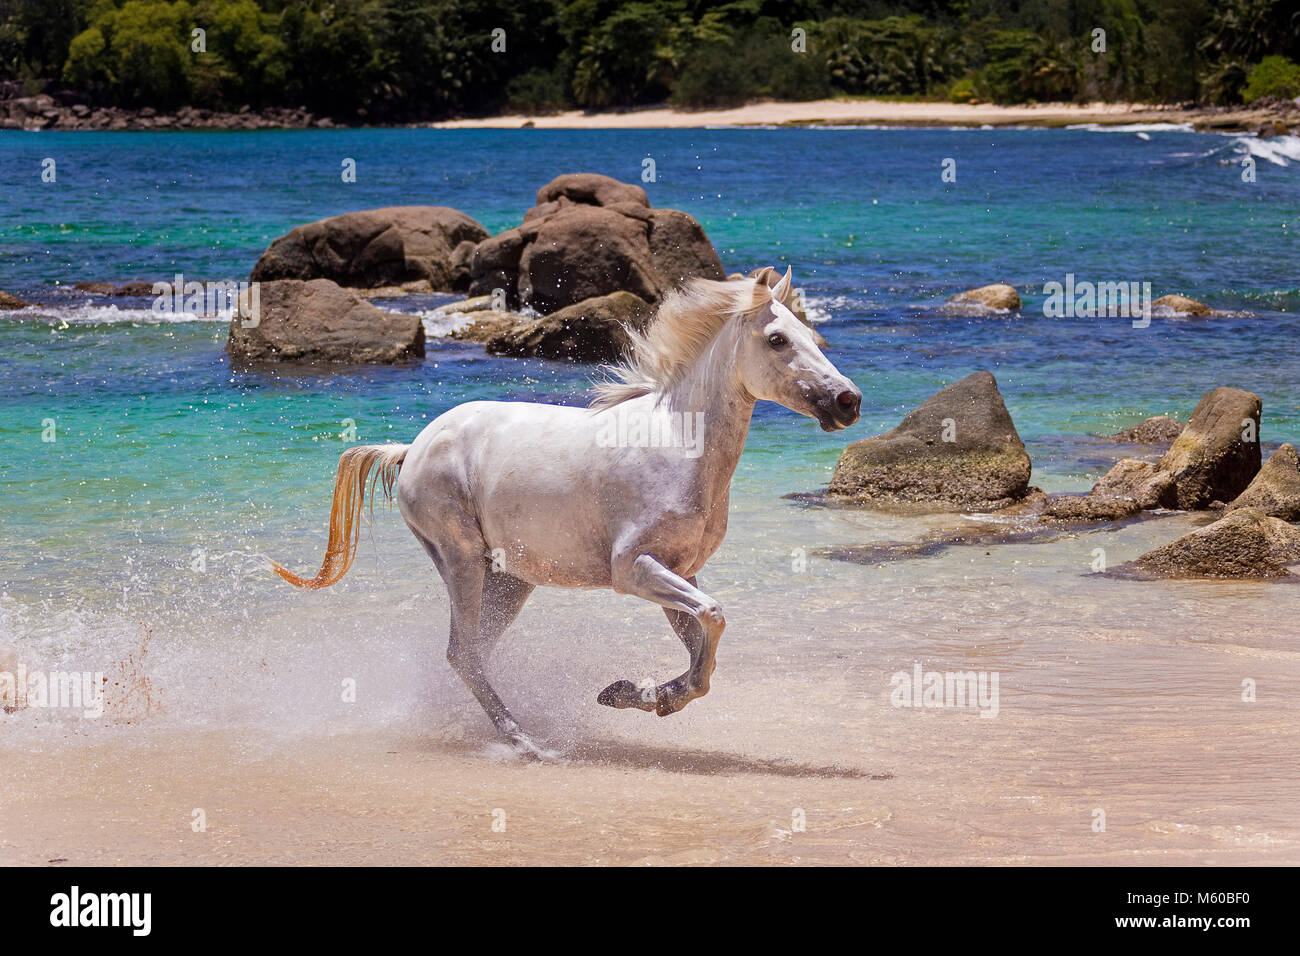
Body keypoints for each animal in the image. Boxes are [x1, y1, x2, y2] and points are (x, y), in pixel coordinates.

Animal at [271, 267, 863, 754]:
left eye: (810, 334)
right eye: (777, 339)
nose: (848, 402)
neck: (678, 444)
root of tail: (410, 448)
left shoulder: (681, 571)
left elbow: (703, 653)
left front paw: (640, 695)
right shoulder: (633, 569)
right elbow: (714, 617)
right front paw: (637, 693)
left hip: (509, 580)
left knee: (473, 652)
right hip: (462, 561)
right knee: (464, 654)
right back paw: (527, 744)